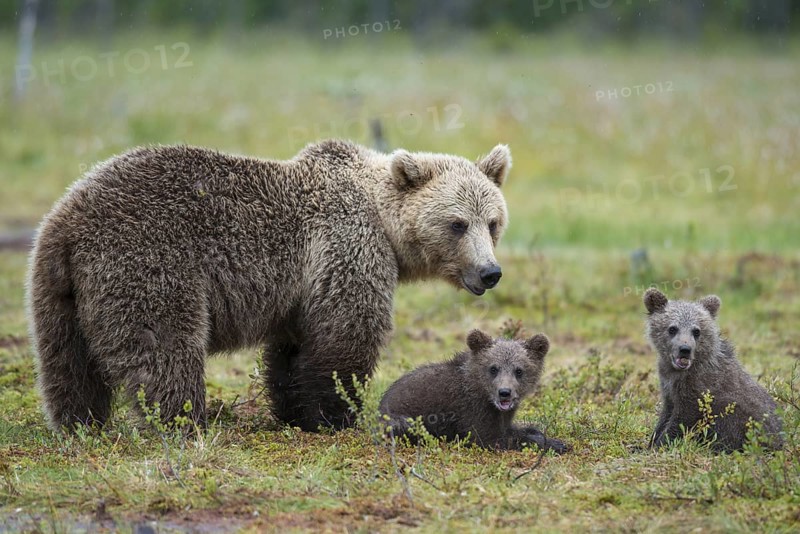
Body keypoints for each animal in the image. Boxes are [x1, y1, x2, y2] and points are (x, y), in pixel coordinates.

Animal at [27, 140, 512, 432]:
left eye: (493, 222)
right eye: (457, 223)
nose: (490, 272)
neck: (384, 224)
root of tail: (67, 223)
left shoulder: (302, 287)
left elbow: (292, 351)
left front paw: (295, 411)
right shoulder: (346, 248)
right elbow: (345, 337)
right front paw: (336, 415)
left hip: (58, 290)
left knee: (67, 360)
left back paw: (79, 422)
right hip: (148, 262)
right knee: (166, 349)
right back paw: (184, 421)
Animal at [379, 329, 570, 453]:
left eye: (519, 370)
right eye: (493, 368)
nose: (504, 392)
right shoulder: (471, 409)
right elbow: (490, 439)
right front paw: (557, 444)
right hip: (399, 419)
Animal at [643, 288, 783, 451]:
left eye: (696, 331)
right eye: (672, 328)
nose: (685, 349)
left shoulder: (698, 388)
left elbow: (682, 419)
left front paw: (660, 444)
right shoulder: (668, 385)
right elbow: (666, 413)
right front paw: (650, 442)